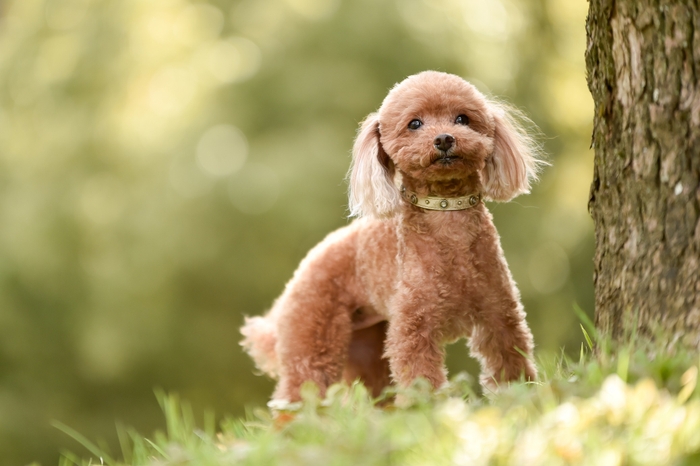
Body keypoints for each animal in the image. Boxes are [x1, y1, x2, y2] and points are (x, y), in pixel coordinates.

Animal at [241, 71, 540, 402]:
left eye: (462, 119)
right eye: (415, 124)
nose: (444, 139)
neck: (446, 212)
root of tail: (298, 275)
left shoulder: (499, 313)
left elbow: (511, 362)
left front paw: (524, 399)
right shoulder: (413, 329)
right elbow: (421, 378)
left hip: (366, 348)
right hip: (312, 340)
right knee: (297, 395)